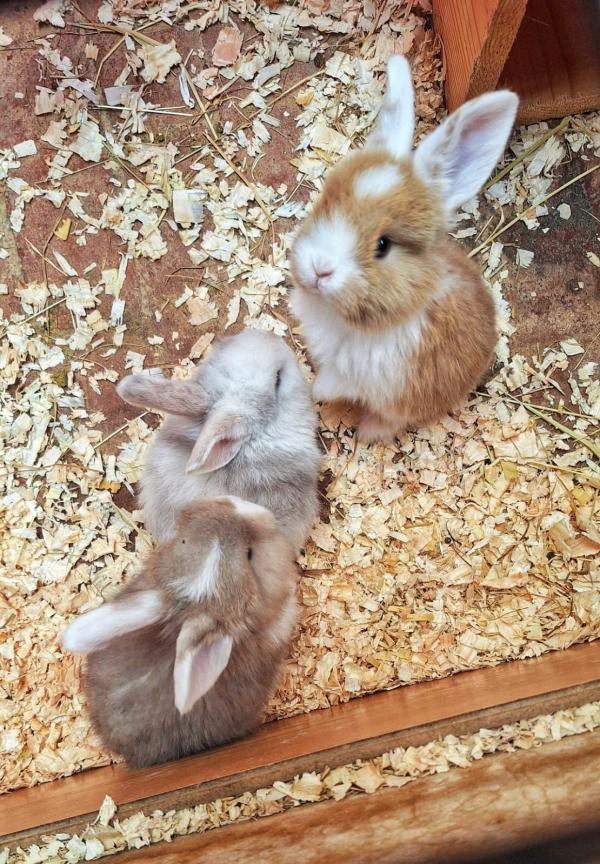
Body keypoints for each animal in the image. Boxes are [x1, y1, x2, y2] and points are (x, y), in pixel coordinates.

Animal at [289, 55, 519, 443]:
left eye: (383, 245)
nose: (320, 267)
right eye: (327, 201)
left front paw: (316, 391)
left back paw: (367, 431)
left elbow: (335, 383)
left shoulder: (365, 377)